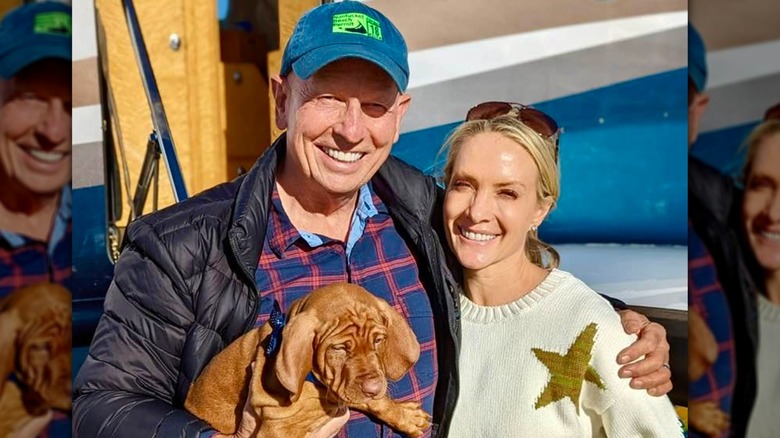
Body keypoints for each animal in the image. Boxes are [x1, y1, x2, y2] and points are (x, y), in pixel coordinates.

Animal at [187, 282, 432, 436]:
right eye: (339, 348)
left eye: (378, 340)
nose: (374, 388)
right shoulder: (275, 431)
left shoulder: (342, 391)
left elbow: (367, 399)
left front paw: (404, 415)